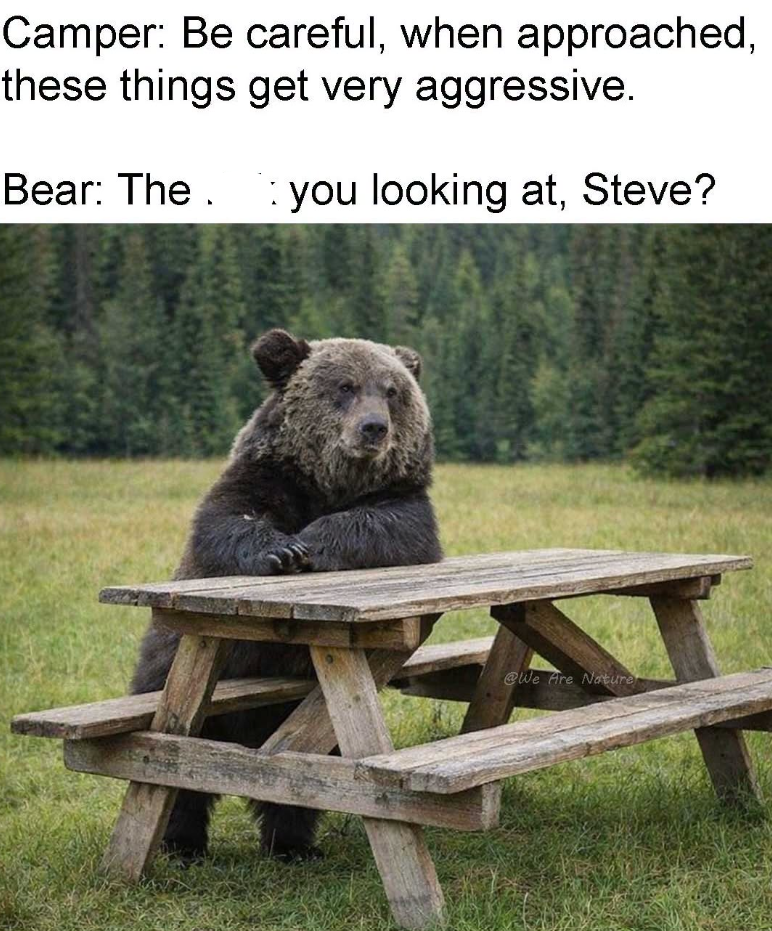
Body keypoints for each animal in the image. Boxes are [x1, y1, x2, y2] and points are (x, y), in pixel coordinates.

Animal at [131, 329, 442, 863]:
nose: (374, 428)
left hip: (308, 716)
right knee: (179, 771)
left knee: (307, 778)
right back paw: (181, 842)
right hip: (175, 674)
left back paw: (293, 844)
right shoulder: (264, 475)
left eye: (392, 391)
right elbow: (225, 521)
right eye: (345, 386)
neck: (327, 484)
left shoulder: (402, 501)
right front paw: (283, 549)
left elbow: (393, 528)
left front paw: (313, 543)